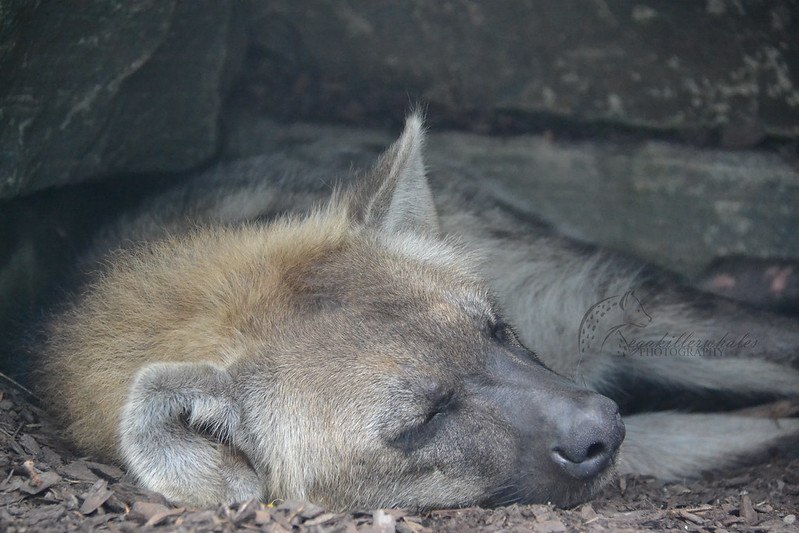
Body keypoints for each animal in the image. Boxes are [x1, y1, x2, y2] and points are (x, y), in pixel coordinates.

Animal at [36, 115, 799, 511]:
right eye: (422, 420)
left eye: (496, 328)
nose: (597, 426)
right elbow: (679, 439)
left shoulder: (579, 300)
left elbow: (764, 344)